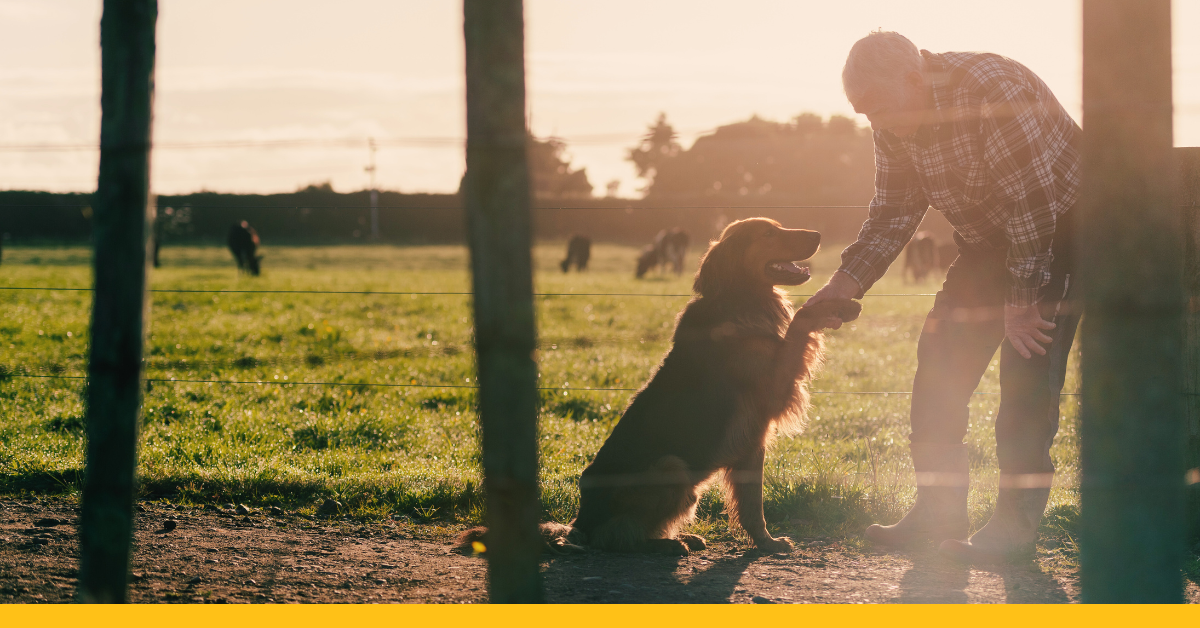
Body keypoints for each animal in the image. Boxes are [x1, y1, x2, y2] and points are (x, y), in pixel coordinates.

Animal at [453, 218, 859, 557]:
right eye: (769, 233)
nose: (819, 235)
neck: (740, 299)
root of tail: (579, 523)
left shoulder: (754, 442)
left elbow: (752, 504)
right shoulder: (771, 391)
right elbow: (801, 319)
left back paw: (681, 537)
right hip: (671, 466)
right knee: (613, 538)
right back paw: (664, 545)